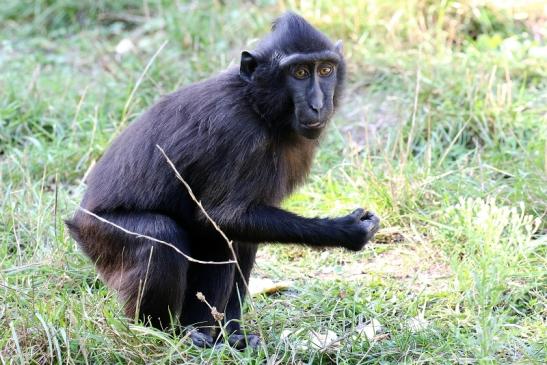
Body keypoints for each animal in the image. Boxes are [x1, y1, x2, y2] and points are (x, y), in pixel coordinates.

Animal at [66, 12, 382, 348]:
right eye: (298, 72)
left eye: (325, 70)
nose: (318, 105)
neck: (256, 105)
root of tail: (77, 222)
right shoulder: (237, 133)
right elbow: (221, 217)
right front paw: (347, 231)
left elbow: (241, 225)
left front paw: (235, 334)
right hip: (102, 237)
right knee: (168, 235)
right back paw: (171, 335)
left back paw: (227, 335)